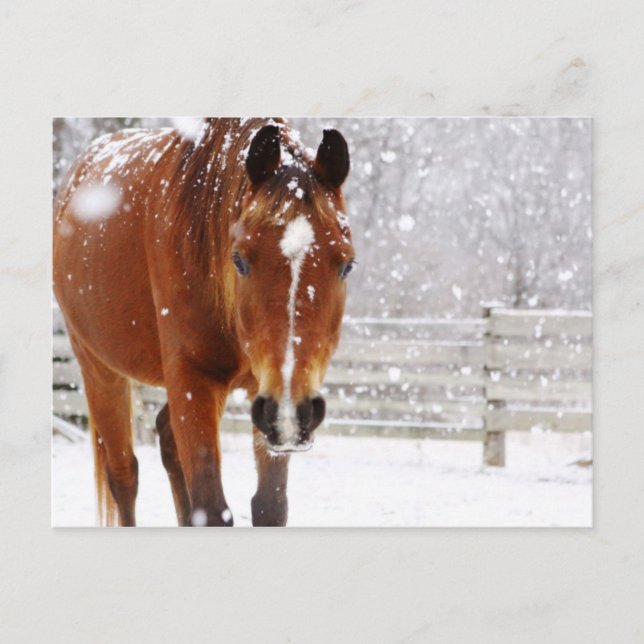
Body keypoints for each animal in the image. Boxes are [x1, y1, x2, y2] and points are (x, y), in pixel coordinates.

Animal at [53, 118, 354, 527]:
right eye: (239, 259)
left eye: (347, 265)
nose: (292, 413)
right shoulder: (193, 378)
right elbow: (211, 508)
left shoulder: (266, 396)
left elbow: (269, 506)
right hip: (98, 368)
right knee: (123, 475)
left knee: (166, 441)